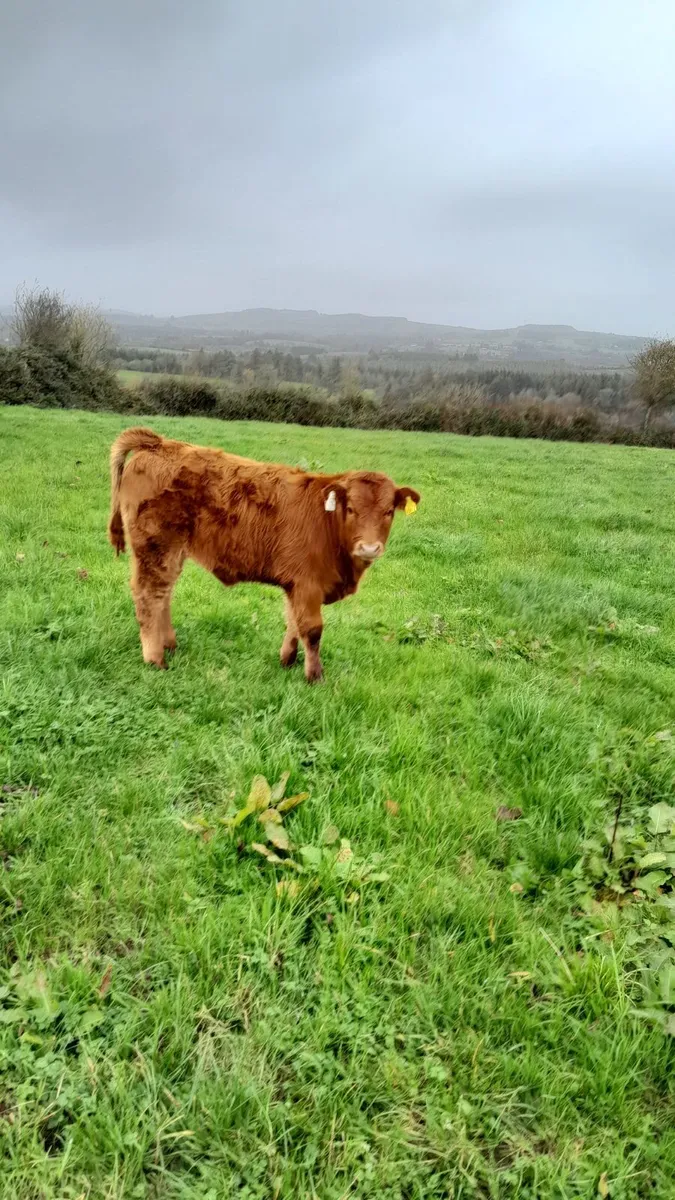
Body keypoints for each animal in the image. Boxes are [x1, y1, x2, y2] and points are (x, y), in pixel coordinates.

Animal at [108, 427, 420, 682]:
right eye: (351, 509)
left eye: (388, 511)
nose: (369, 548)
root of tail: (158, 443)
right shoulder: (307, 584)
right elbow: (312, 629)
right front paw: (314, 676)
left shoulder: (297, 585)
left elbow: (294, 622)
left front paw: (288, 660)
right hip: (155, 547)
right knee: (150, 595)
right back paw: (155, 658)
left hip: (171, 552)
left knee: (164, 594)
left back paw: (169, 645)